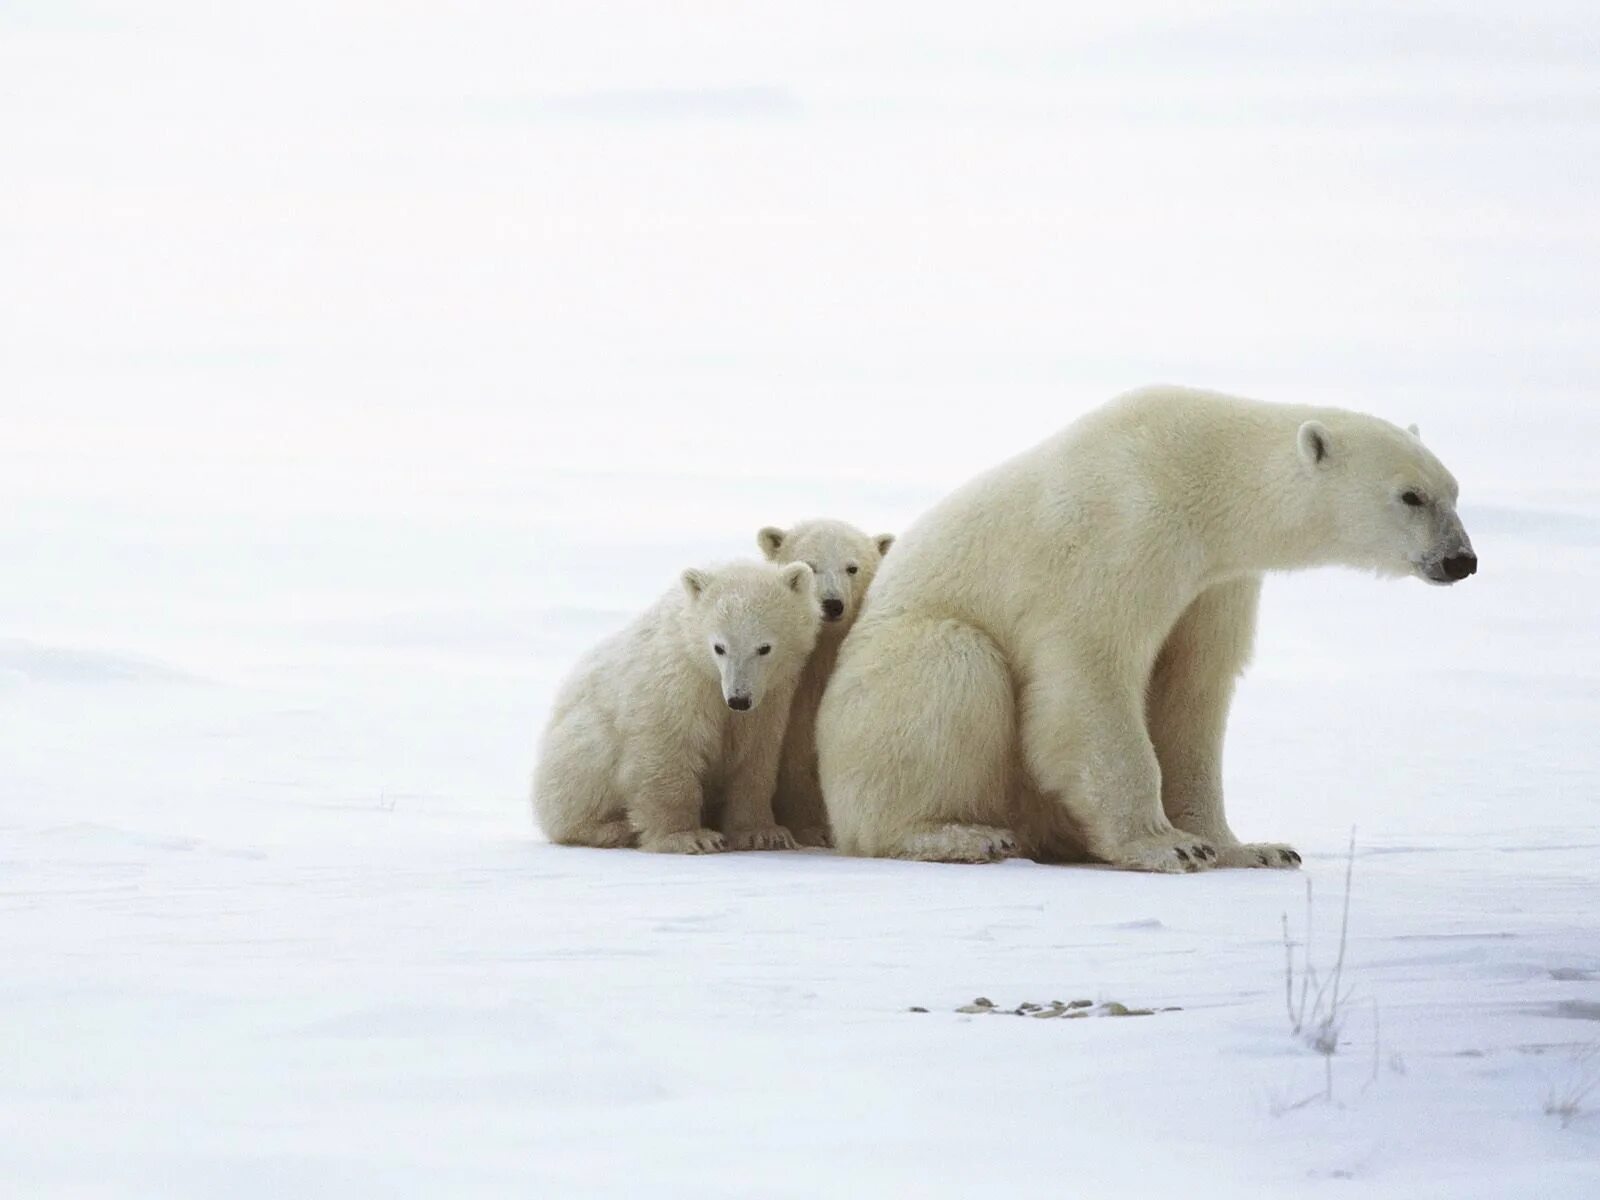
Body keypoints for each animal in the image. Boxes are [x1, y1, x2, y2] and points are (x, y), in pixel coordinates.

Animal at [537, 563, 819, 857]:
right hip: (580, 748)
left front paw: (764, 834)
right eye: (719, 647)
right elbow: (667, 750)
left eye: (764, 648)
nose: (738, 699)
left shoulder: (770, 699)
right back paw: (614, 828)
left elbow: (754, 759)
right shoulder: (677, 683)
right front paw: (691, 837)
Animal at [819, 385, 1478, 876]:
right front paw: (1168, 845)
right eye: (1410, 496)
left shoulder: (1215, 581)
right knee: (952, 665)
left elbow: (1193, 690)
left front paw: (1251, 848)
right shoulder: (1122, 534)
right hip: (887, 678)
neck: (1202, 472)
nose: (1461, 560)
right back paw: (959, 834)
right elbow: (1092, 676)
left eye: (1454, 491)